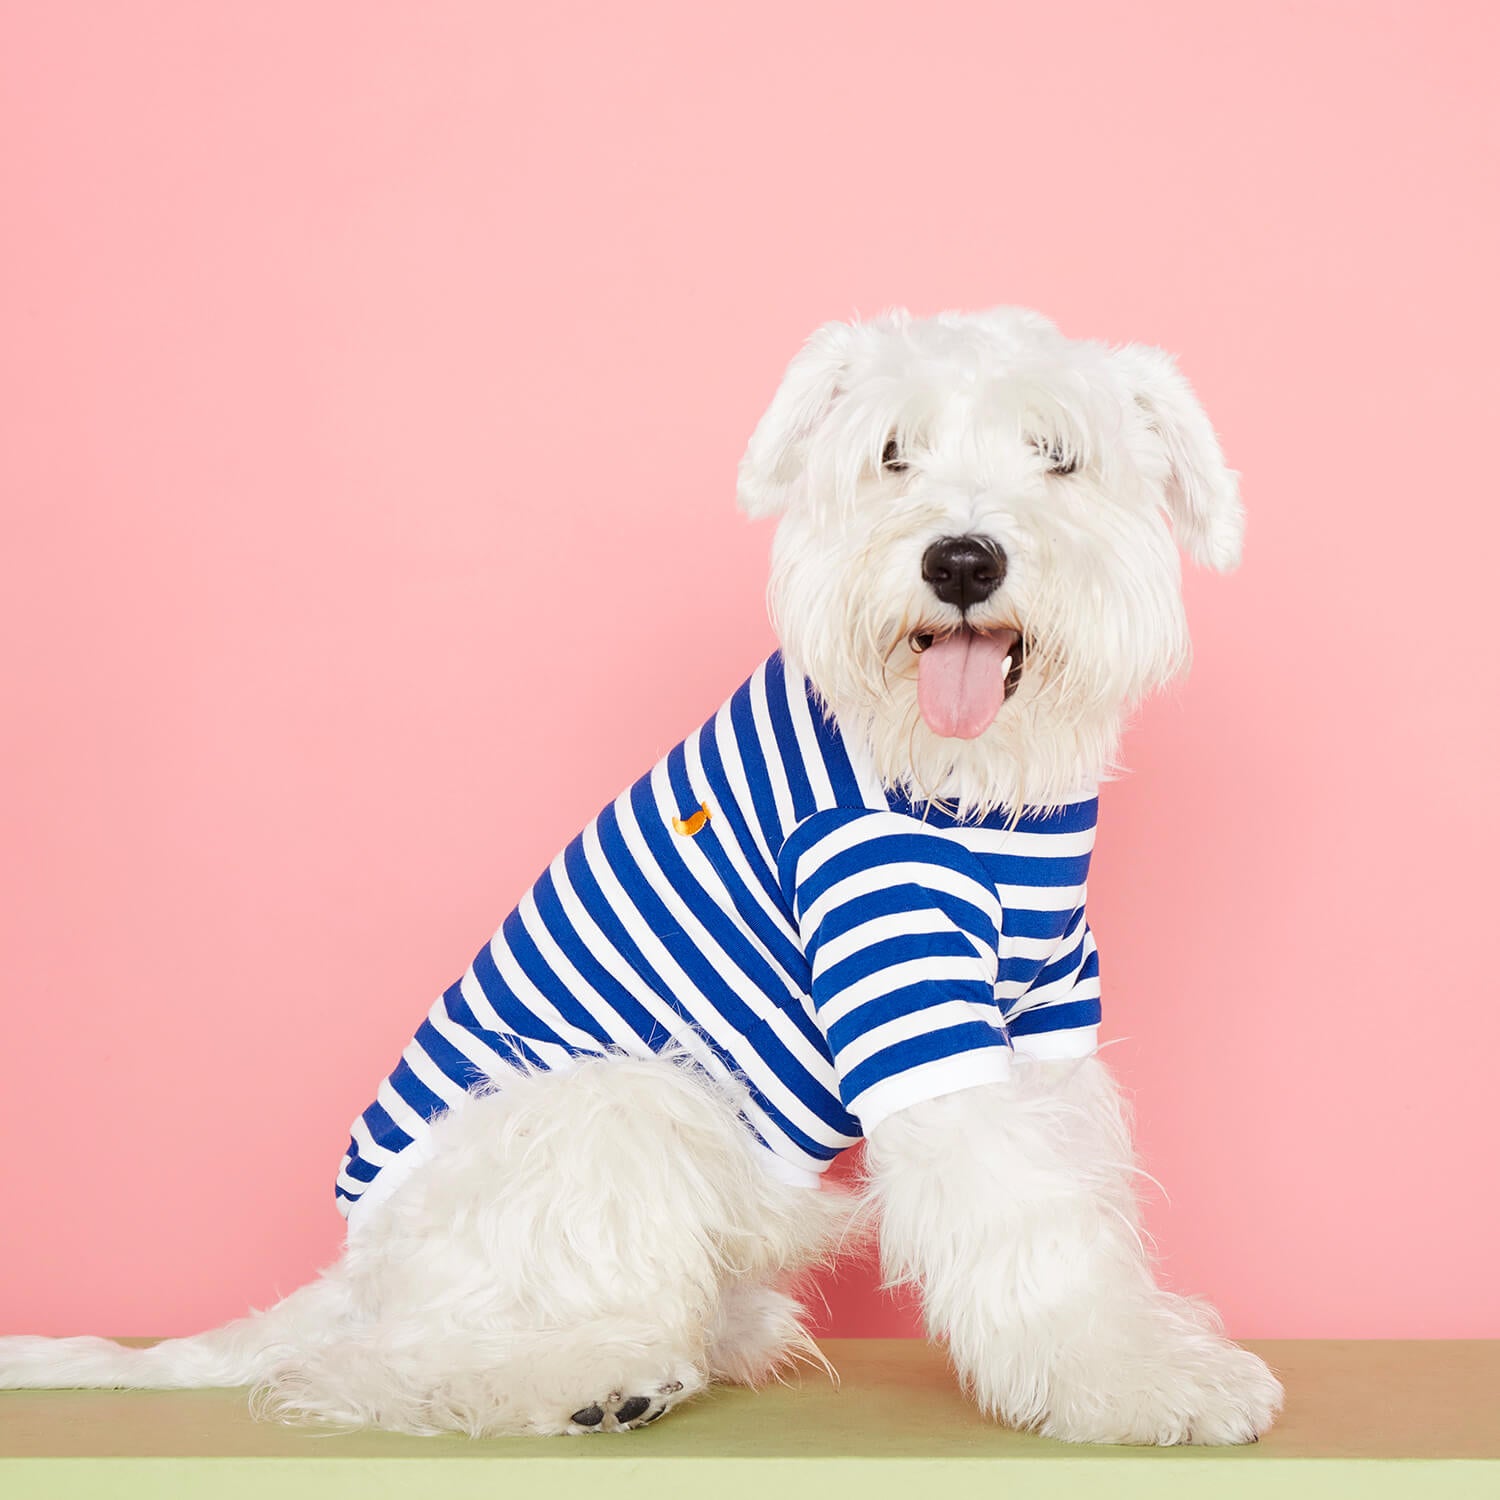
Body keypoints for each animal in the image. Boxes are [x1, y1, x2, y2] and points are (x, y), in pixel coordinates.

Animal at [0, 304, 1290, 1440]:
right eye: (891, 453)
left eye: (1059, 454)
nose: (962, 560)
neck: (976, 789)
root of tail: (356, 1267)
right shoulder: (903, 984)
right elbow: (1024, 1218)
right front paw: (1140, 1387)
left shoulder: (1050, 1013)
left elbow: (1081, 1203)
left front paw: (1140, 1352)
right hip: (623, 1101)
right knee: (371, 1365)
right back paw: (580, 1382)